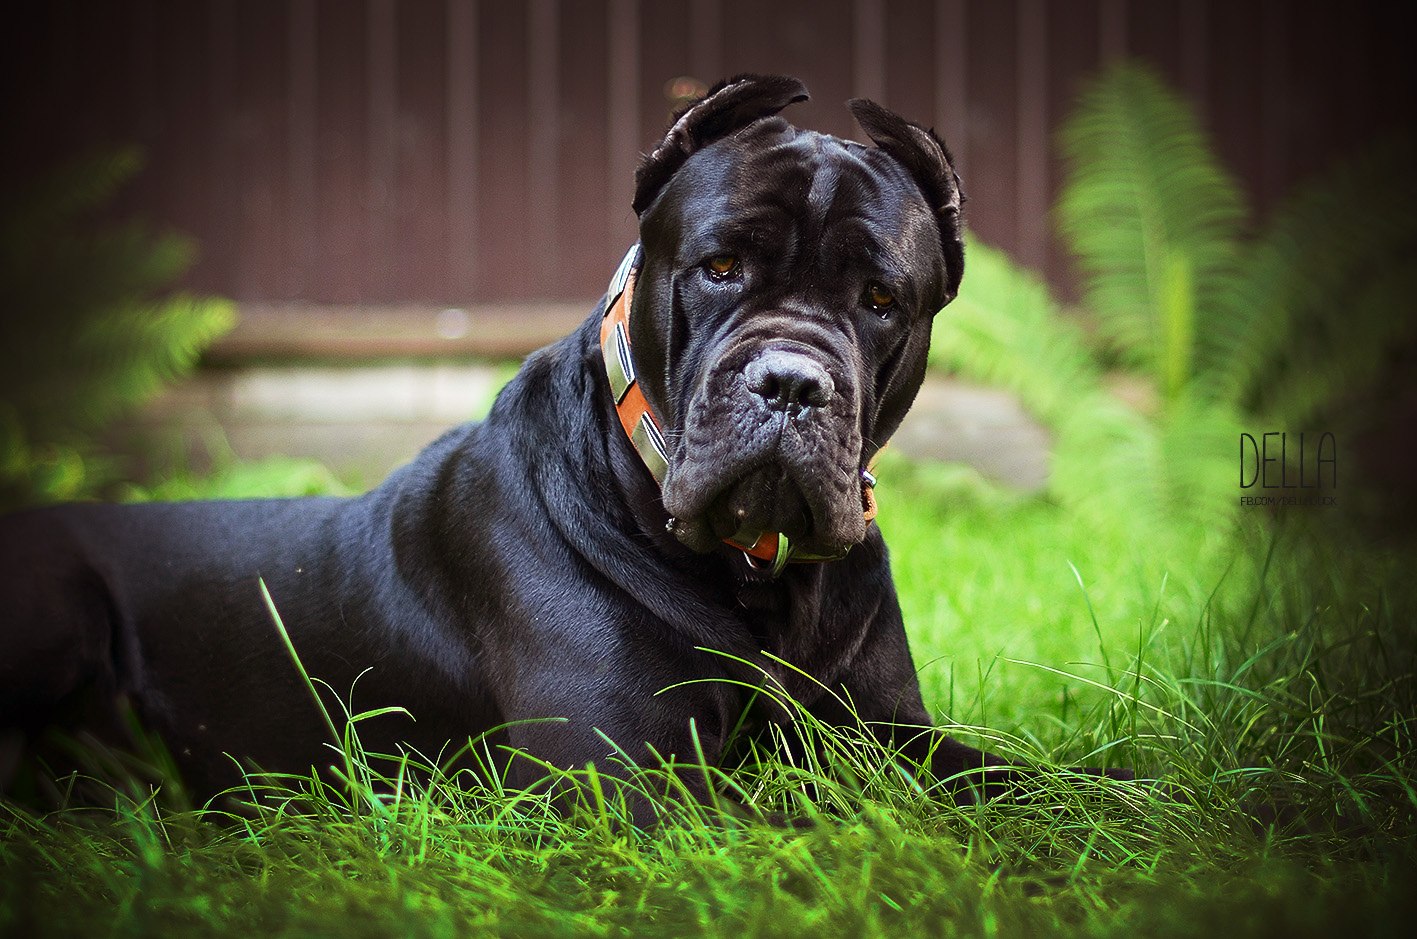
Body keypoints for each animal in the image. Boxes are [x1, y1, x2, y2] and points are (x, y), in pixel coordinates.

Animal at [0, 77, 1127, 821]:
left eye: (881, 297)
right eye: (720, 265)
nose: (791, 382)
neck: (756, 578)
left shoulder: (886, 732)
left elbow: (1026, 778)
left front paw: (1126, 793)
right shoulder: (621, 779)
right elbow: (803, 815)